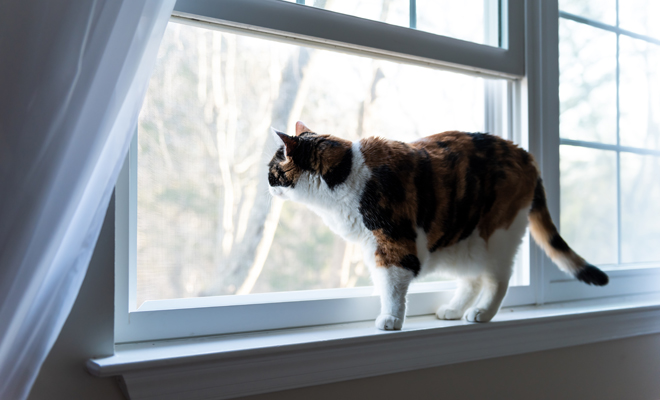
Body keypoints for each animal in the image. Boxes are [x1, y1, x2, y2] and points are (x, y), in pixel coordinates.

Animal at [266, 122, 608, 332]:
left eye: (272, 169)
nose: (266, 182)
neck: (347, 173)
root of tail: (527, 156)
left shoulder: (393, 244)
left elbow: (391, 287)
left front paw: (390, 318)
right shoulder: (372, 246)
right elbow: (385, 284)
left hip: (496, 235)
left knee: (498, 278)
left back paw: (482, 313)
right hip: (460, 241)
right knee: (472, 279)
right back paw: (453, 310)